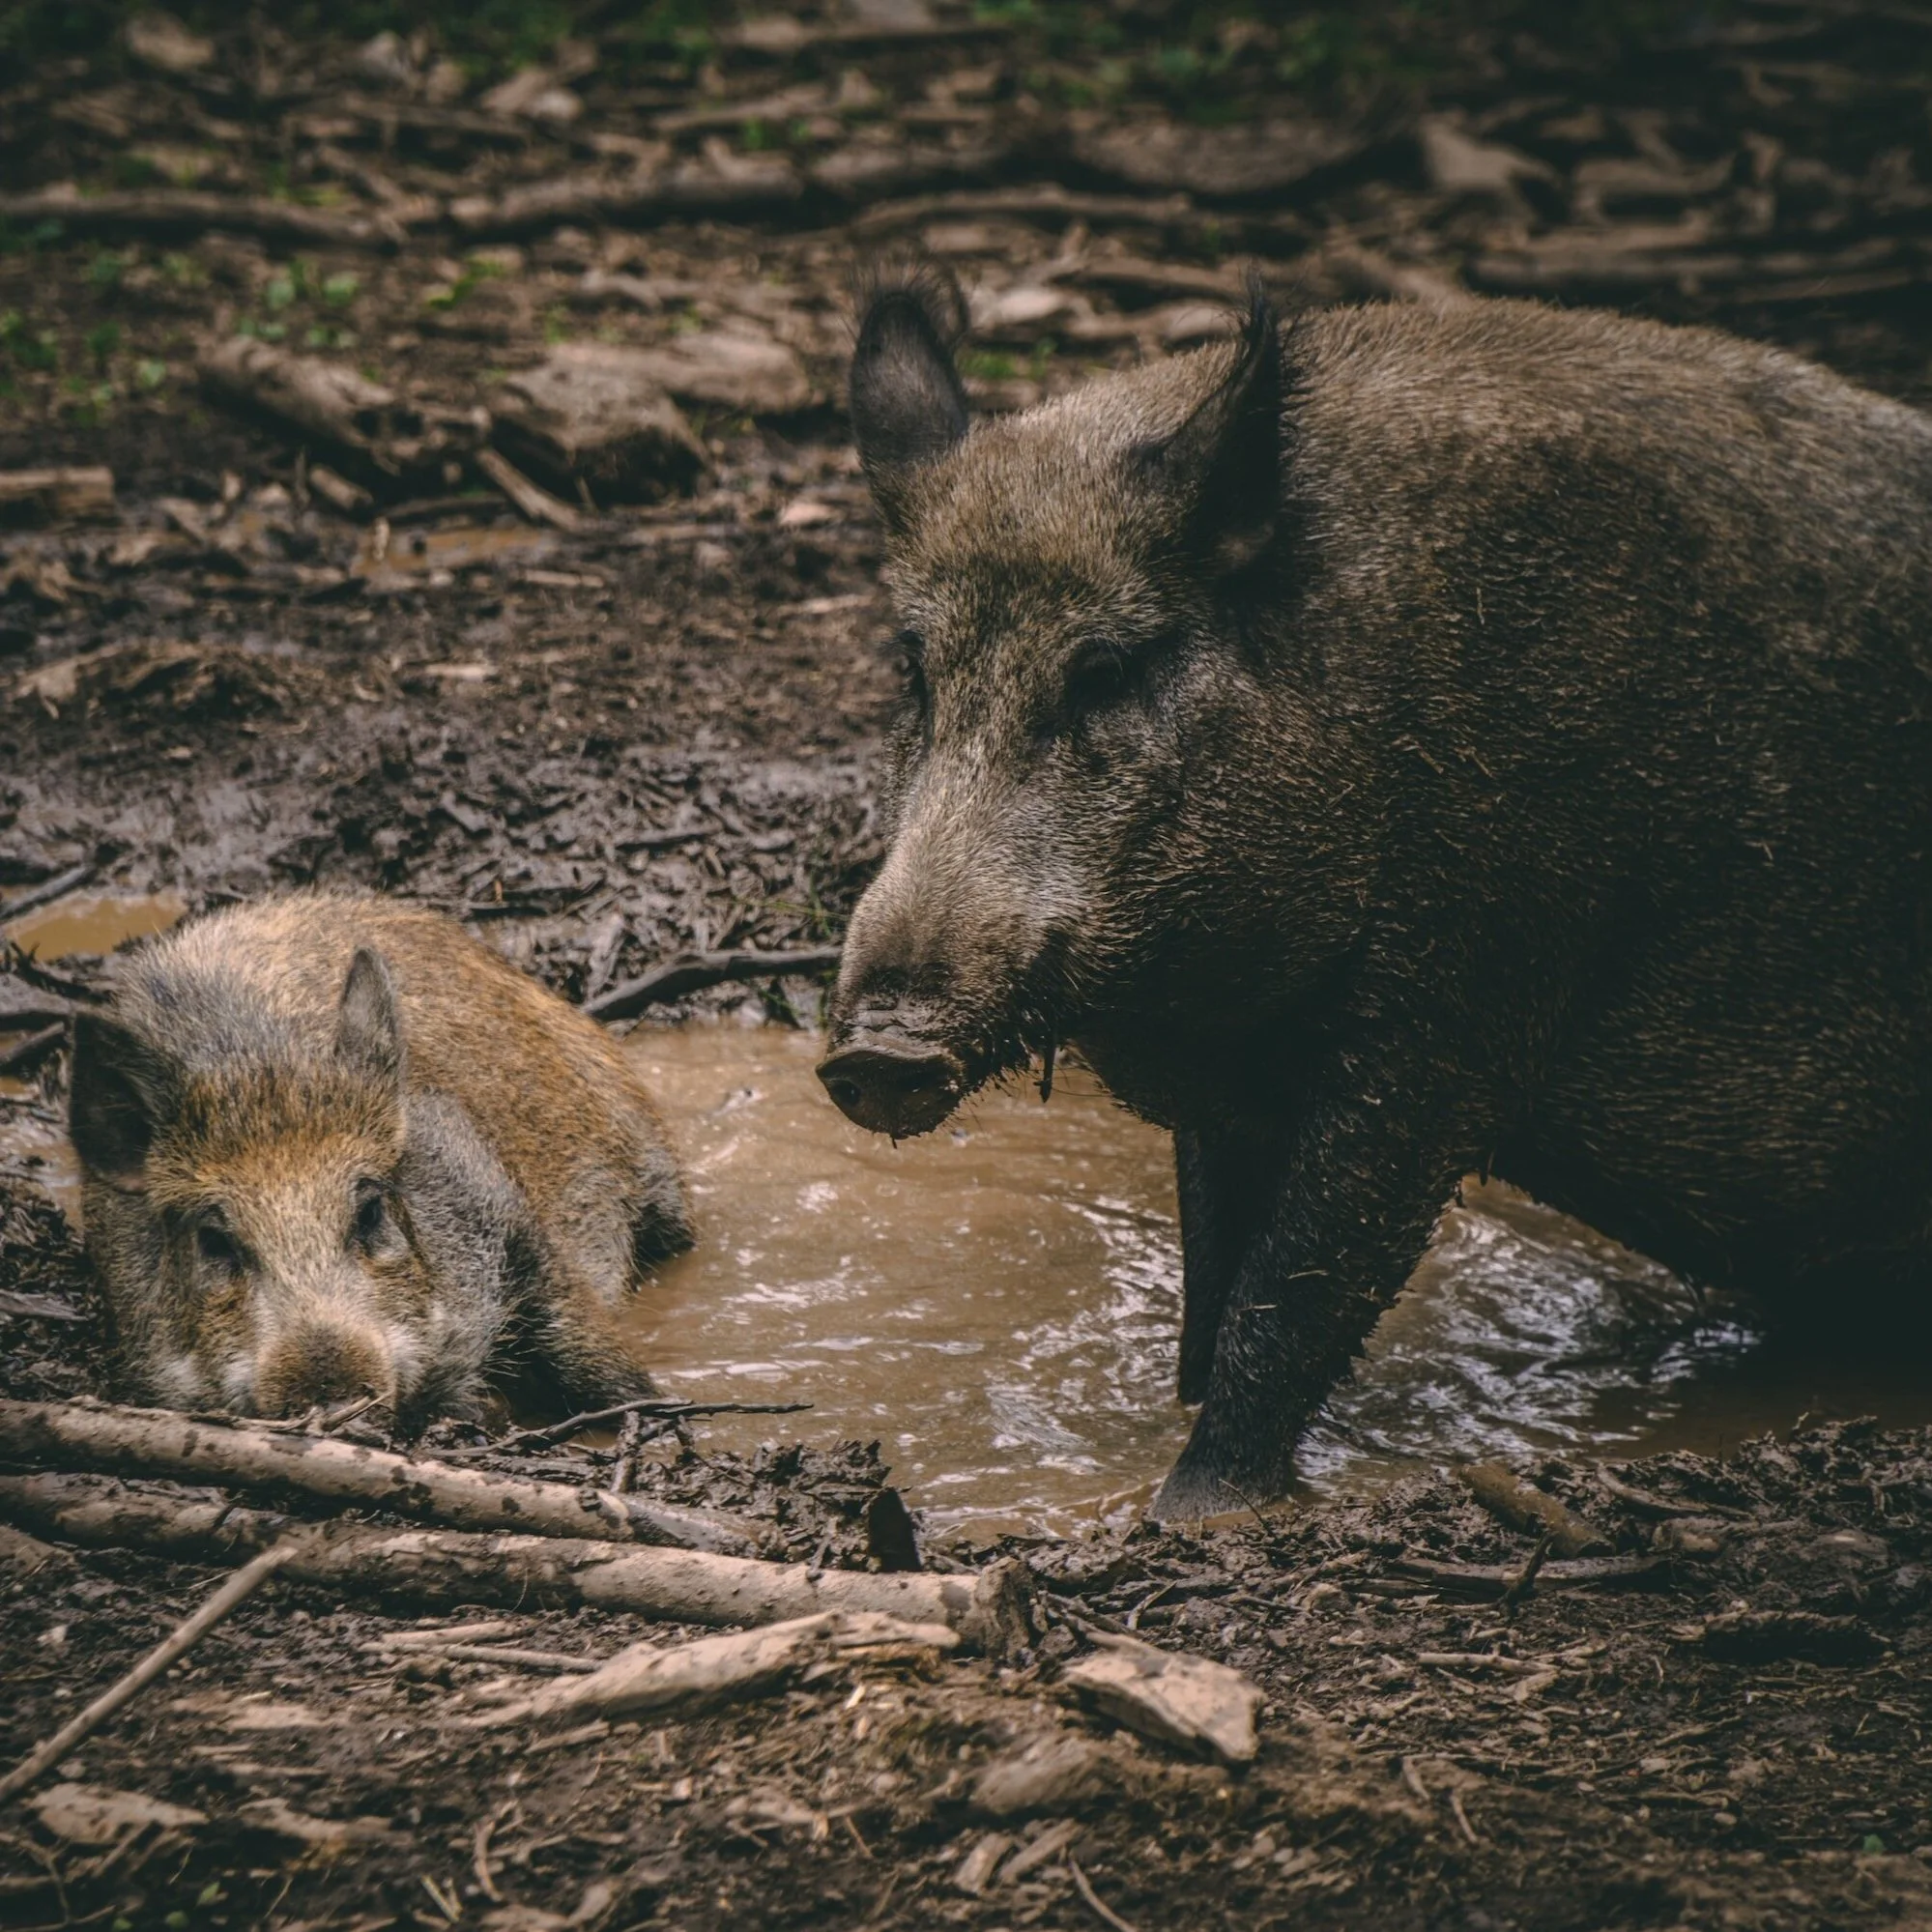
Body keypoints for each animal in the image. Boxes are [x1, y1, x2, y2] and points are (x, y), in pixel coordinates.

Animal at [69, 893, 691, 1428]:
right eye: (214, 1239)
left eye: (369, 1210)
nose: (331, 1393)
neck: (260, 1072)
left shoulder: (511, 1219)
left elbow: (593, 1354)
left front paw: (657, 1406)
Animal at [818, 265, 1932, 1517]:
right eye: (916, 669)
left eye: (1100, 669)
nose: (878, 1050)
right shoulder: (1237, 1078)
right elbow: (1215, 1273)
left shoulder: (1466, 1001)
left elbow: (1297, 1284)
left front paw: (1190, 1507)